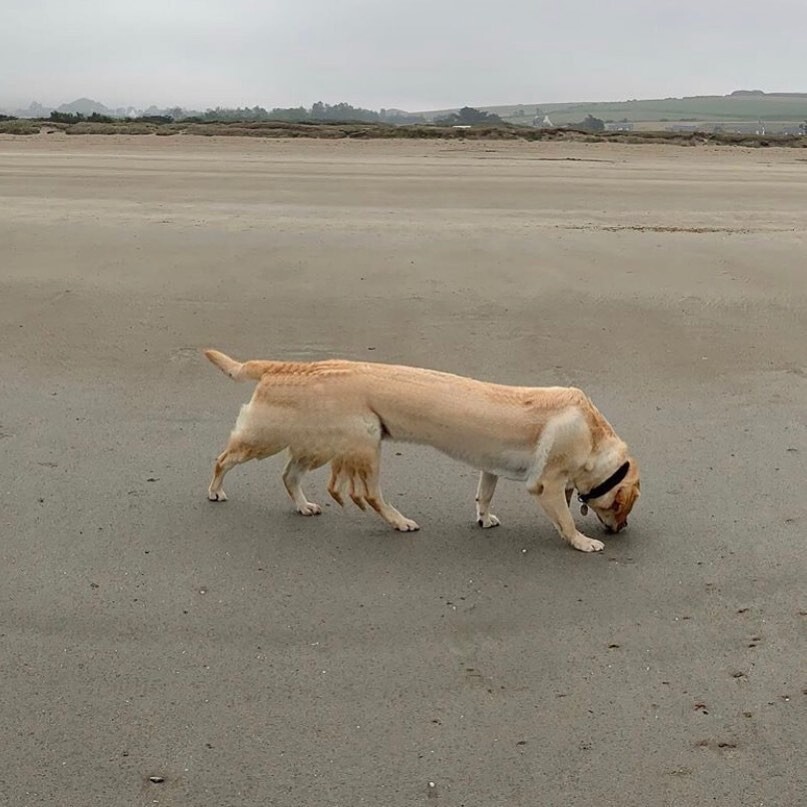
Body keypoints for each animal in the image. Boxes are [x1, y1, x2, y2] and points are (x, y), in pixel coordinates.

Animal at [205, 350, 640, 552]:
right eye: (623, 507)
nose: (622, 530)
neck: (593, 434)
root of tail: (294, 367)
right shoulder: (546, 485)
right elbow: (564, 519)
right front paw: (582, 542)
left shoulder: (490, 465)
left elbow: (484, 493)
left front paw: (484, 518)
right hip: (332, 439)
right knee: (225, 458)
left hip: (321, 443)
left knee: (289, 474)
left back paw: (304, 506)